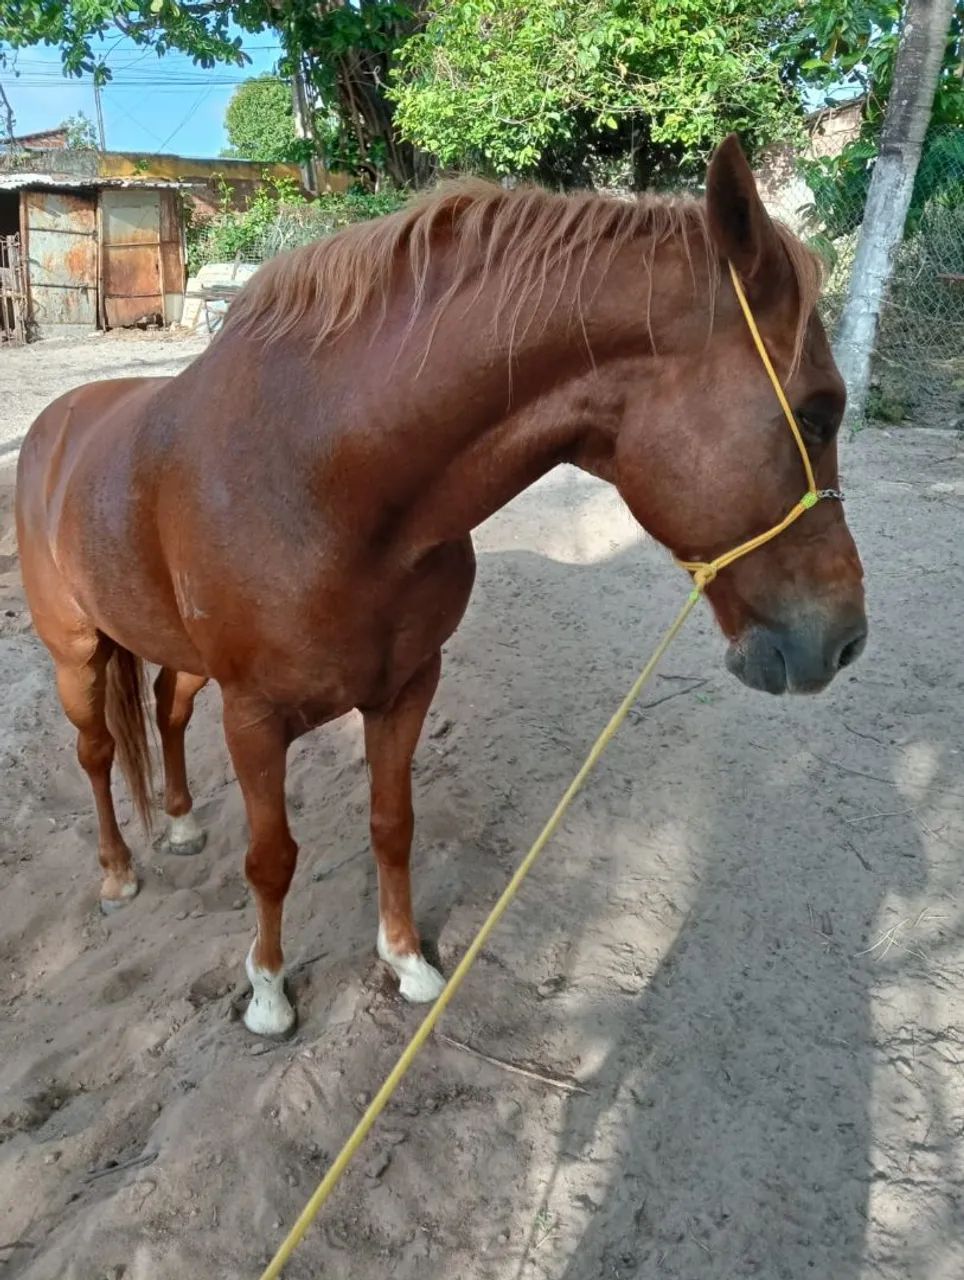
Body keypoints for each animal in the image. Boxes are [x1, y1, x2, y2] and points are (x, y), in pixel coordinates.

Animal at [15, 136, 866, 1037]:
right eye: (817, 412)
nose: (846, 640)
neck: (326, 480)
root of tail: (52, 429)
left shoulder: (405, 688)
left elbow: (393, 825)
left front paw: (406, 961)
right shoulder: (253, 717)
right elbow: (272, 858)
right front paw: (270, 992)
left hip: (177, 656)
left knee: (167, 714)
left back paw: (178, 825)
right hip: (77, 657)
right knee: (97, 754)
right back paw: (117, 870)